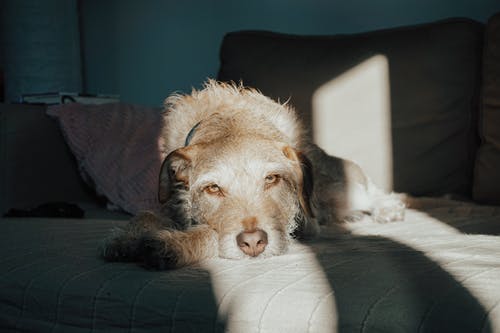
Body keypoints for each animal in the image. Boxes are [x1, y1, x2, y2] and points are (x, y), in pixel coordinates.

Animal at [102, 79, 406, 268]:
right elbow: (147, 214)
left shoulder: (300, 226)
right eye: (213, 188)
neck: (230, 120)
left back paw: (387, 209)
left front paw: (171, 245)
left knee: (376, 191)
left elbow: (210, 232)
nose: (253, 243)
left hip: (343, 190)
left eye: (272, 178)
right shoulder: (173, 204)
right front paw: (126, 239)